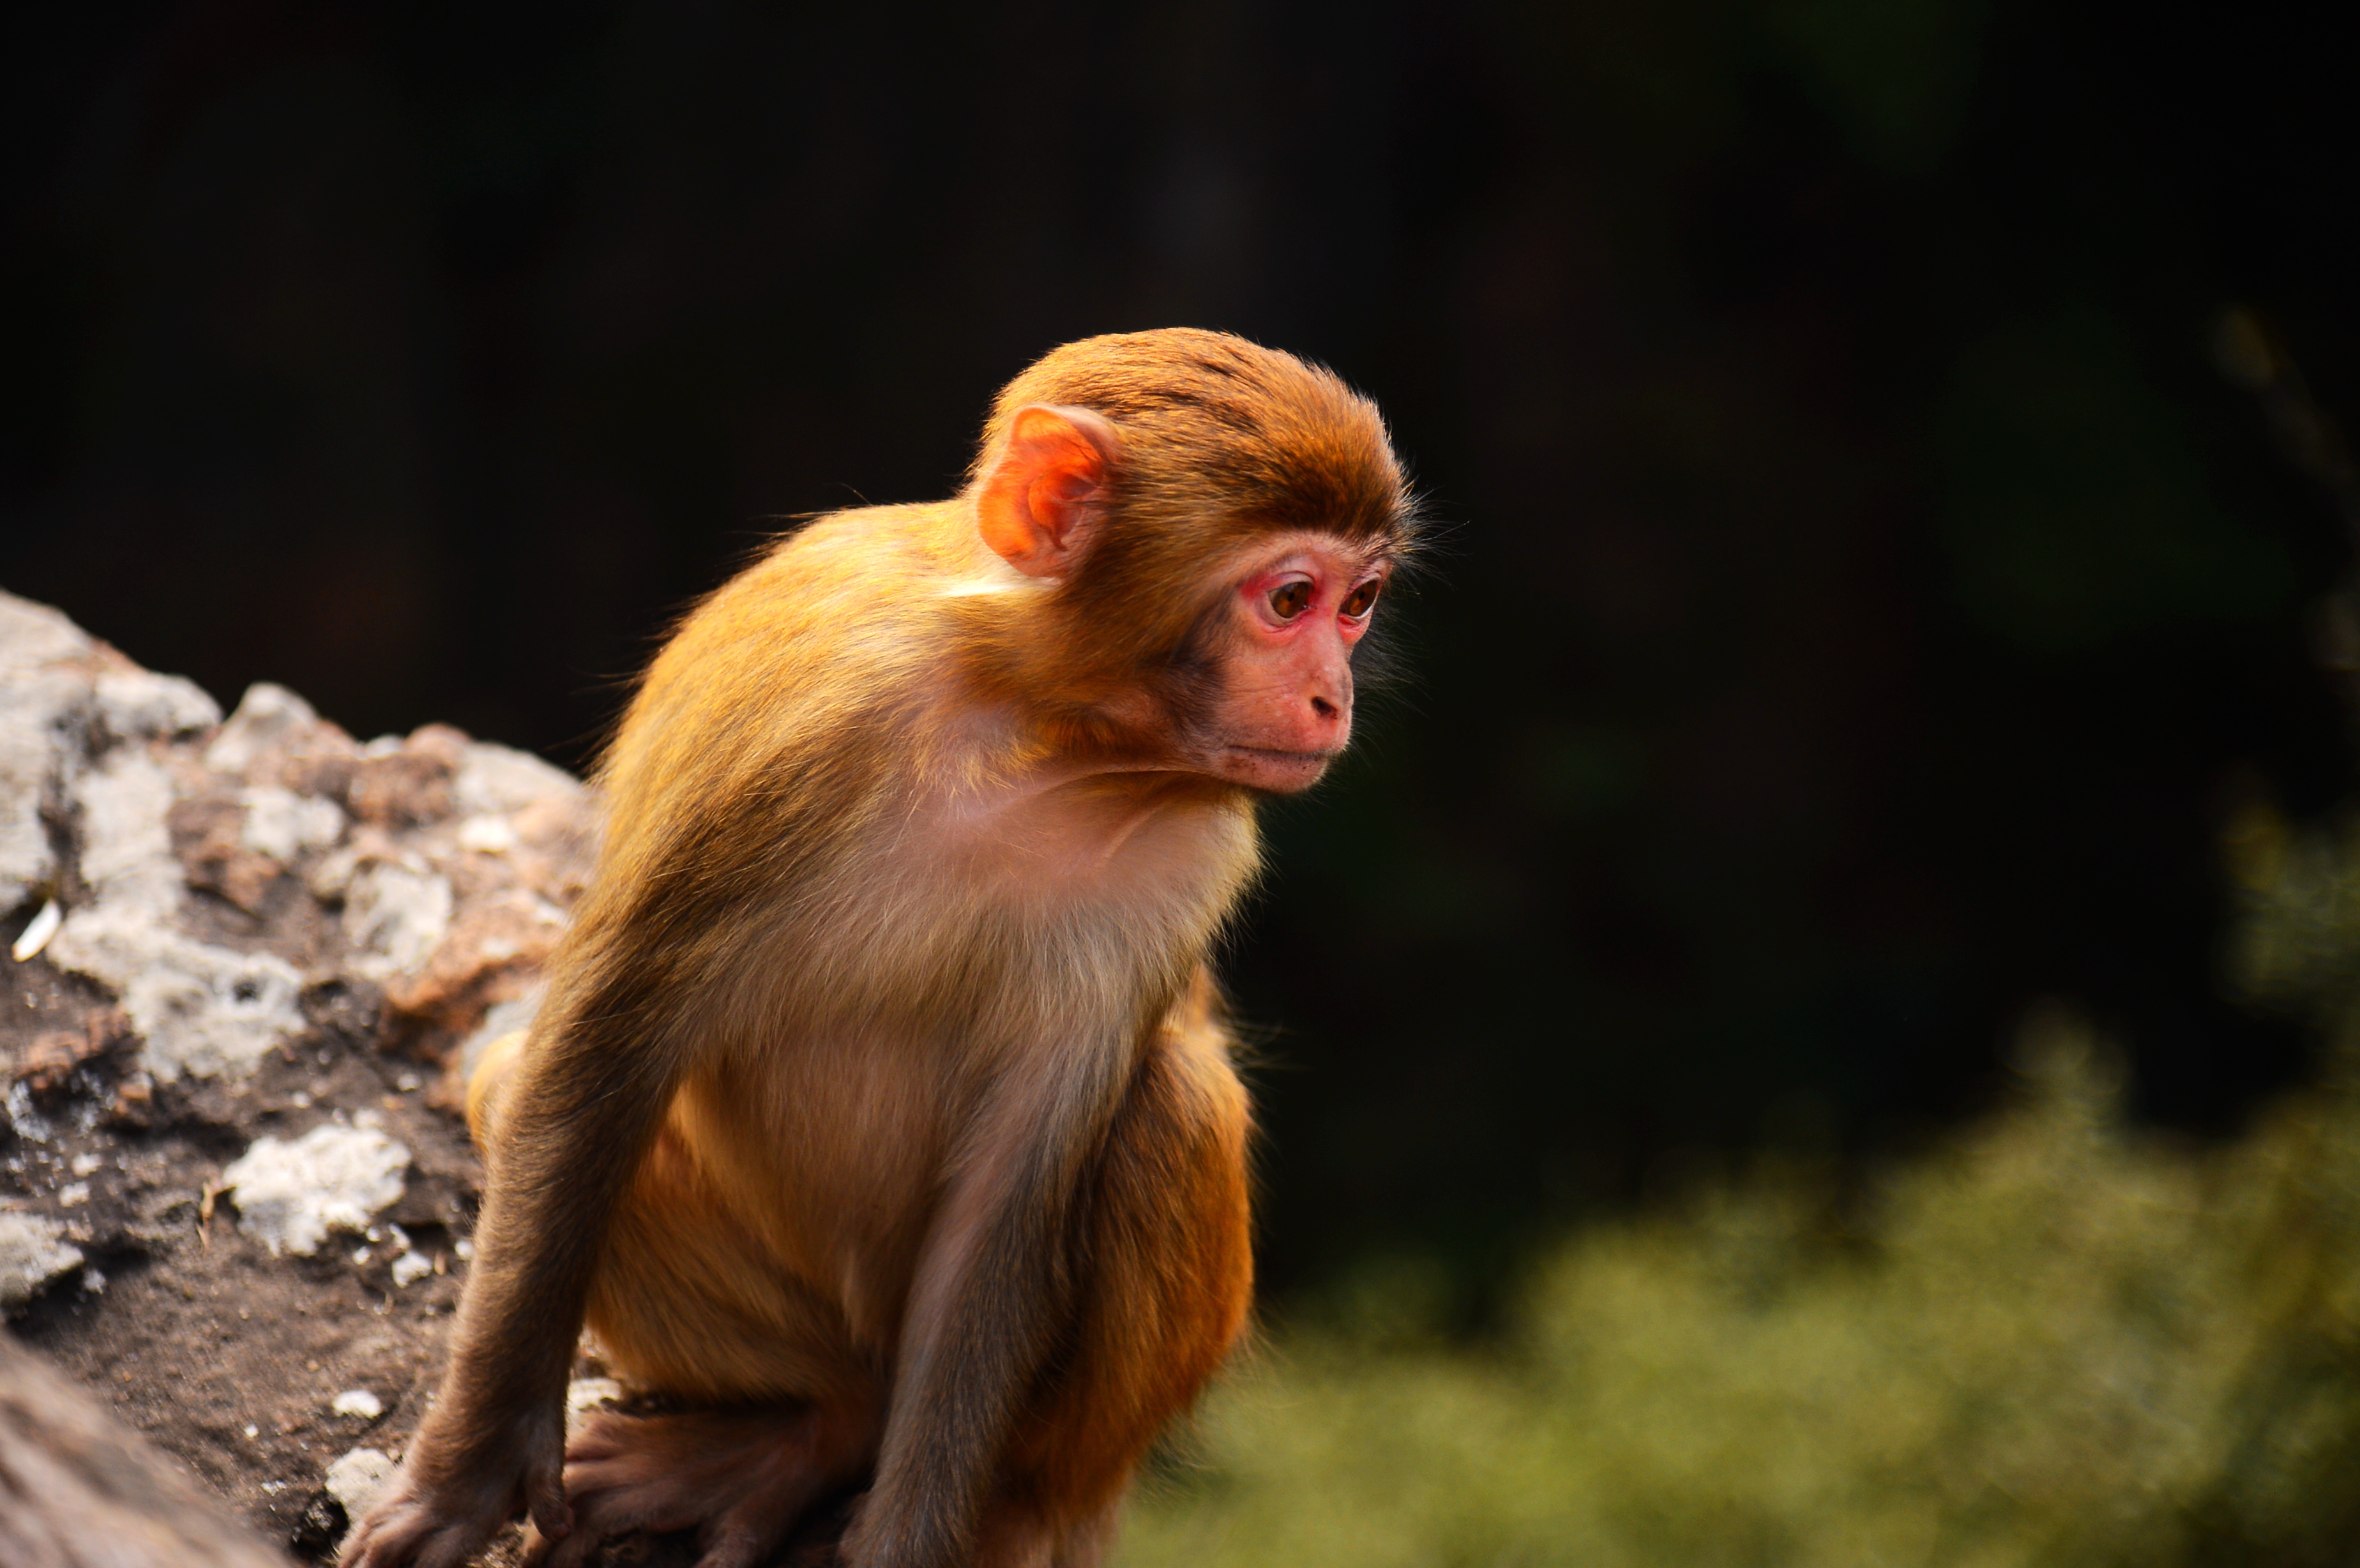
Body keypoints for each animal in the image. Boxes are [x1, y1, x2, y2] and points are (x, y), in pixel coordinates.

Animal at [344, 322, 1416, 1556]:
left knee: (1171, 1107)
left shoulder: (1189, 857)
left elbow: (1008, 1200)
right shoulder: (795, 721)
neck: (1036, 725)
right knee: (513, 1081)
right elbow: (597, 1056)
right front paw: (469, 1473)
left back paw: (1013, 1505)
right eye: (1290, 599)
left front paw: (914, 1542)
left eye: (1360, 603)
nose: (1334, 699)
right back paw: (810, 1430)